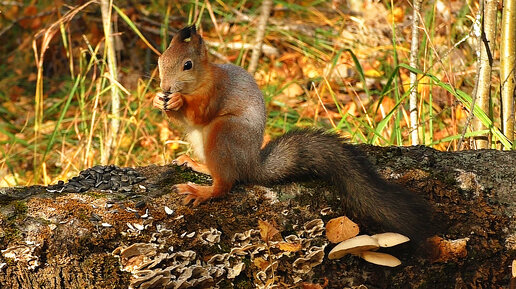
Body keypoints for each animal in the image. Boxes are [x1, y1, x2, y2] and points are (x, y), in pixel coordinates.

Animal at [153, 24, 432, 237]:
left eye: (188, 65)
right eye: (160, 60)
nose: (165, 87)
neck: (199, 82)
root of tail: (251, 164)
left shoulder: (216, 92)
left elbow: (199, 114)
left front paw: (177, 101)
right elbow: (185, 120)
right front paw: (158, 100)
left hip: (223, 133)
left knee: (226, 183)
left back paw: (203, 191)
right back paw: (195, 164)